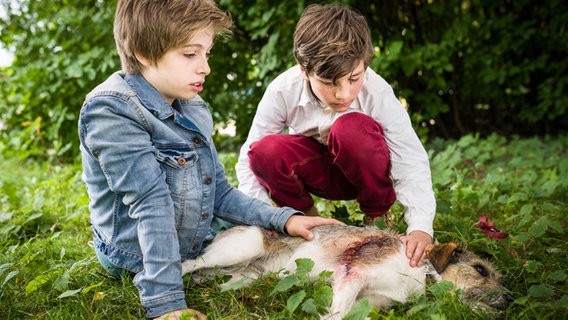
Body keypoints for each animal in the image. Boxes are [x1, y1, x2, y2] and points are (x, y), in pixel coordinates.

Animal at [182, 224, 510, 318]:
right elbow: (337, 314)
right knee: (189, 263)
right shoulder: (354, 274)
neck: (420, 277)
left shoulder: (370, 302)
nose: (509, 299)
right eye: (480, 269)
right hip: (241, 245)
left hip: (247, 279)